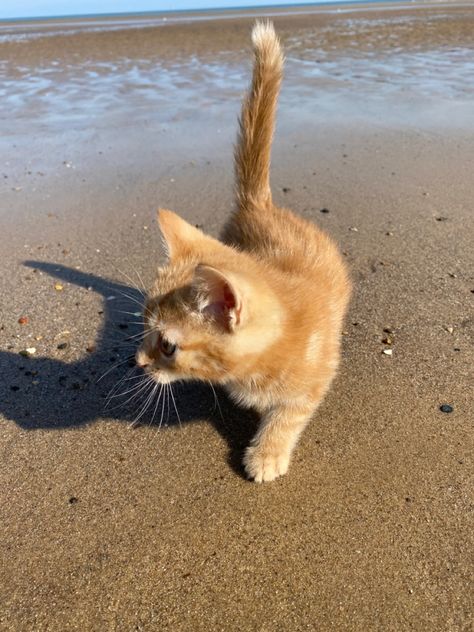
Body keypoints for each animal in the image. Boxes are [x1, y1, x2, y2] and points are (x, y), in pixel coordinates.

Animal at [137, 21, 352, 484]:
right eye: (144, 329)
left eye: (168, 346)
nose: (138, 362)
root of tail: (260, 206)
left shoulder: (313, 380)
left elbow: (289, 415)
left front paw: (267, 453)